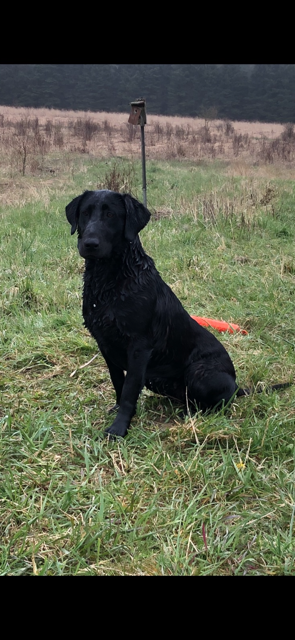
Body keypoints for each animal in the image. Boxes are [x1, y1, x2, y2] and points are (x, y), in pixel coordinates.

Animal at [66, 190, 290, 438]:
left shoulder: (139, 348)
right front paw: (117, 411)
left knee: (219, 403)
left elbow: (129, 392)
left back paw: (191, 415)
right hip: (156, 378)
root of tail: (237, 385)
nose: (89, 243)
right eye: (85, 213)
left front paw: (119, 428)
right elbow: (118, 384)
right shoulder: (105, 345)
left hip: (199, 373)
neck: (109, 281)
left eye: (110, 215)